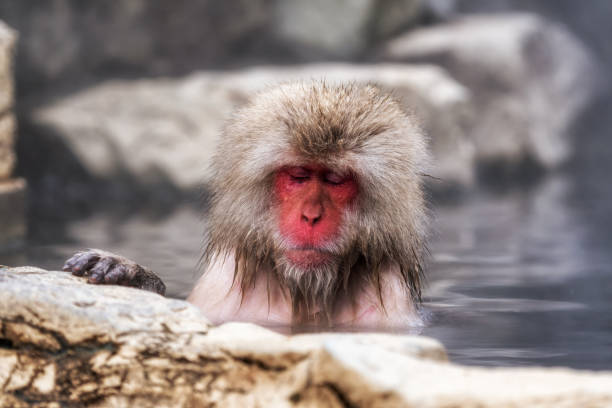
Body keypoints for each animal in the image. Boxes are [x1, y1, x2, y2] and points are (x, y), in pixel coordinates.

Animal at [62, 82, 428, 328]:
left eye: (335, 179)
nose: (310, 216)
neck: (304, 292)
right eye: (298, 175)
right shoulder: (220, 290)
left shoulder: (390, 306)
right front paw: (129, 273)